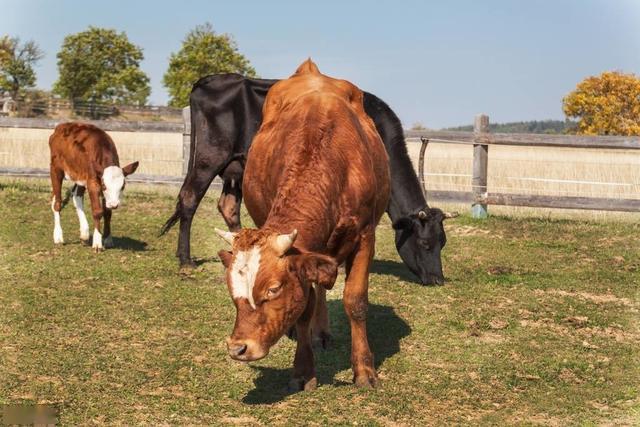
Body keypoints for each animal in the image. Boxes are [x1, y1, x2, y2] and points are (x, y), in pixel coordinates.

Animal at [49, 122, 140, 252]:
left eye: (123, 186)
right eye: (104, 185)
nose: (114, 204)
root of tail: (61, 126)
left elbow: (107, 212)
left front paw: (107, 239)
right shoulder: (93, 183)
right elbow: (97, 211)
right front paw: (97, 243)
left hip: (80, 175)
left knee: (76, 195)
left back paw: (84, 234)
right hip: (56, 168)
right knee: (57, 202)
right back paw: (58, 236)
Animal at [161, 75, 450, 286]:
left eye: (443, 242)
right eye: (424, 243)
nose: (438, 280)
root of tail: (209, 80)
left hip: (235, 167)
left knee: (228, 206)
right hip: (210, 156)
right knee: (189, 198)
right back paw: (186, 259)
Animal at [215, 59, 390, 392]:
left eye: (273, 289)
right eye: (231, 289)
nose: (238, 348)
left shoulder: (364, 236)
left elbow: (355, 301)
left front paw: (364, 369)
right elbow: (305, 308)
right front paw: (303, 369)